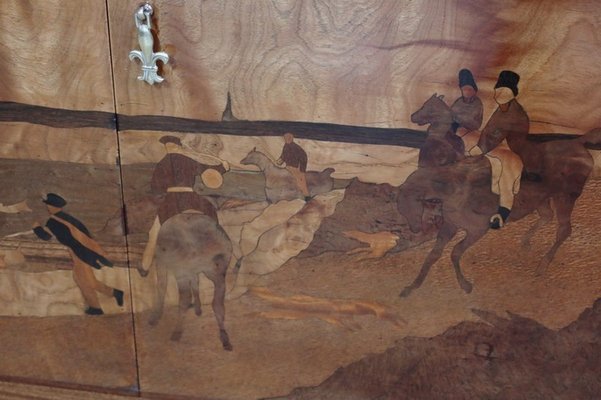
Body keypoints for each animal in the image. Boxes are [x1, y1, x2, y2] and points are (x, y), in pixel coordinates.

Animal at [398, 99, 600, 296]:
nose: (415, 229)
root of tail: (579, 142)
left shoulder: (477, 230)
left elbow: (455, 252)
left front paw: (465, 285)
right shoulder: (451, 225)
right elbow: (434, 254)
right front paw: (411, 287)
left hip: (565, 197)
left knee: (564, 229)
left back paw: (542, 265)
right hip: (542, 199)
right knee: (546, 216)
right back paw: (526, 242)